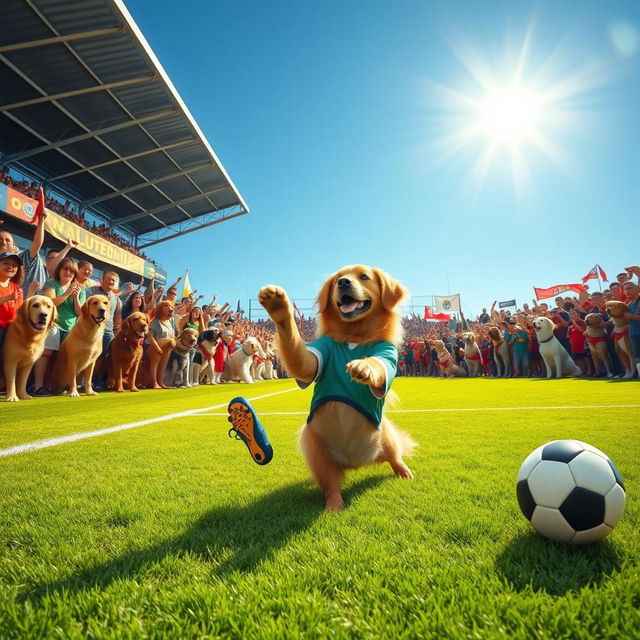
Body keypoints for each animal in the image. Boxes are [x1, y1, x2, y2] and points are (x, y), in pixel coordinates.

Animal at [258, 264, 418, 510]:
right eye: (337, 280)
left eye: (364, 276)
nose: (343, 282)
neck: (355, 335)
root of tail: (356, 462)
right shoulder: (315, 358)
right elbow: (296, 349)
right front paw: (279, 307)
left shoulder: (387, 355)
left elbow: (376, 364)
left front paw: (364, 366)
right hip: (317, 451)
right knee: (331, 486)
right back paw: (333, 506)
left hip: (387, 437)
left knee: (395, 456)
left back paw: (403, 471)